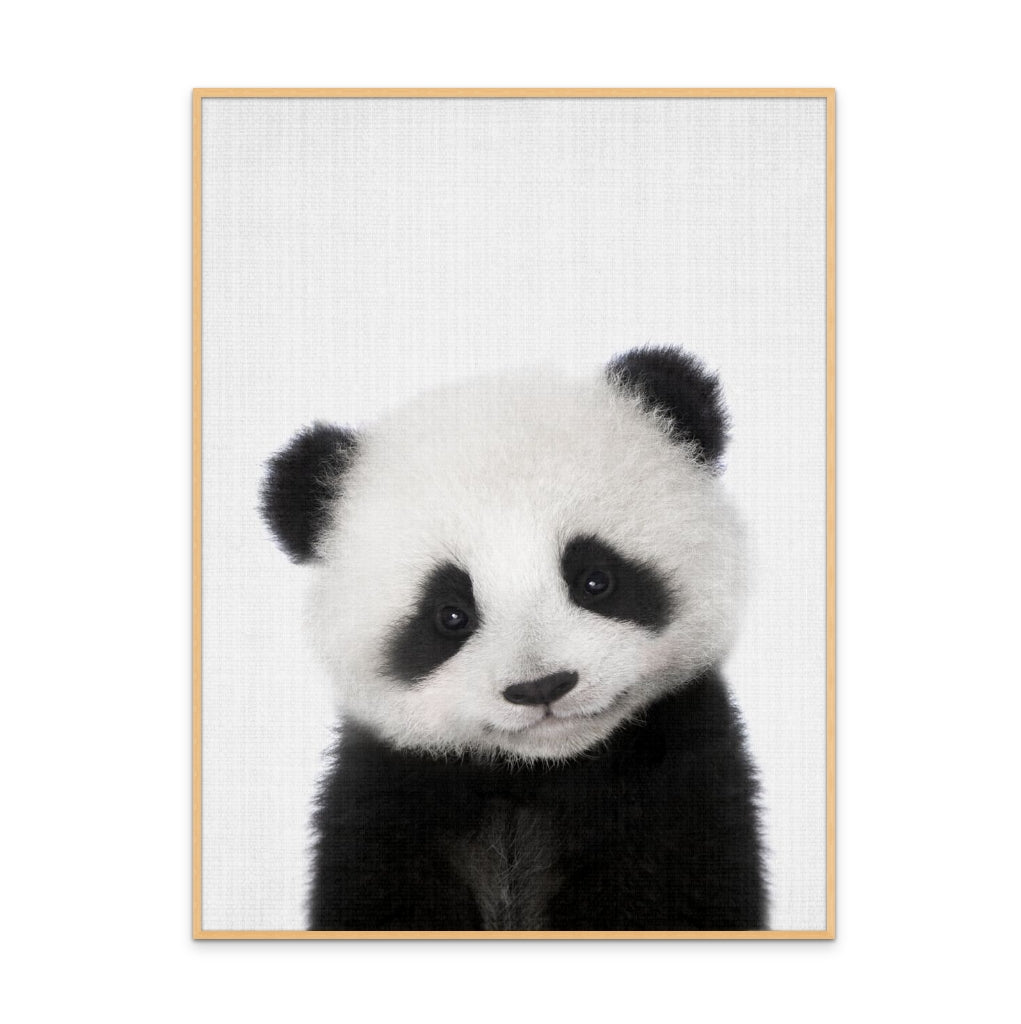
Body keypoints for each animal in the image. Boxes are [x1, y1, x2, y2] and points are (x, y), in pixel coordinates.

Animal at [261, 346, 766, 932]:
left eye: (595, 580)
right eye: (450, 615)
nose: (541, 686)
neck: (536, 775)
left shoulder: (678, 780)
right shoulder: (388, 799)